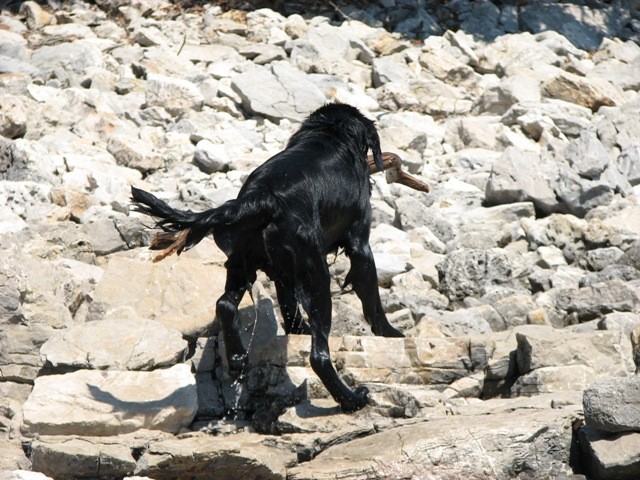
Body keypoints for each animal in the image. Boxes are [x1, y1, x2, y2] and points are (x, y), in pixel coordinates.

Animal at [132, 105, 402, 412]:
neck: (330, 135)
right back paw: (352, 399)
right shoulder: (360, 244)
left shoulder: (282, 273)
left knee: (225, 304)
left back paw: (238, 358)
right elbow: (373, 301)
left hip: (243, 262)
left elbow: (289, 310)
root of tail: (263, 197)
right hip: (315, 275)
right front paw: (391, 333)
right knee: (319, 356)